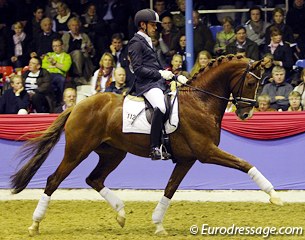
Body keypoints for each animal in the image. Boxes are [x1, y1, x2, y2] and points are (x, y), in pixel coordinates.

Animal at [10, 55, 282, 235]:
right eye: (250, 83)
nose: (246, 115)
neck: (200, 101)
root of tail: (77, 105)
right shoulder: (206, 152)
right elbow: (245, 163)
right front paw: (275, 196)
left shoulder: (187, 159)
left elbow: (170, 189)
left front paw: (158, 224)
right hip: (77, 151)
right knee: (53, 180)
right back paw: (35, 224)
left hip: (113, 153)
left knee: (94, 179)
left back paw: (120, 214)